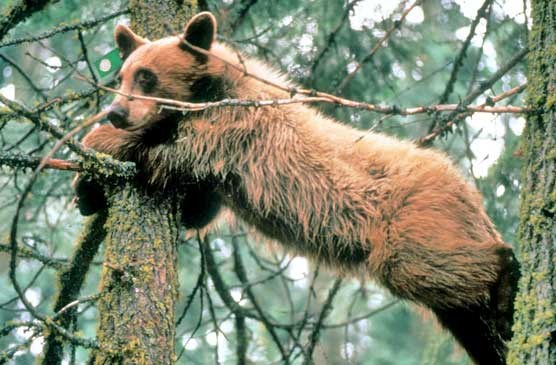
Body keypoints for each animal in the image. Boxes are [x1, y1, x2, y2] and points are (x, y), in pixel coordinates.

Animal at [75, 11, 520, 364]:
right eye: (121, 76)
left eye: (147, 77)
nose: (116, 112)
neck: (215, 91)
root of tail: (465, 189)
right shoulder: (218, 177)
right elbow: (197, 209)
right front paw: (88, 190)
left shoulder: (236, 129)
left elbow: (172, 155)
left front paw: (98, 149)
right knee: (467, 314)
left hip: (415, 220)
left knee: (429, 267)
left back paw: (507, 268)